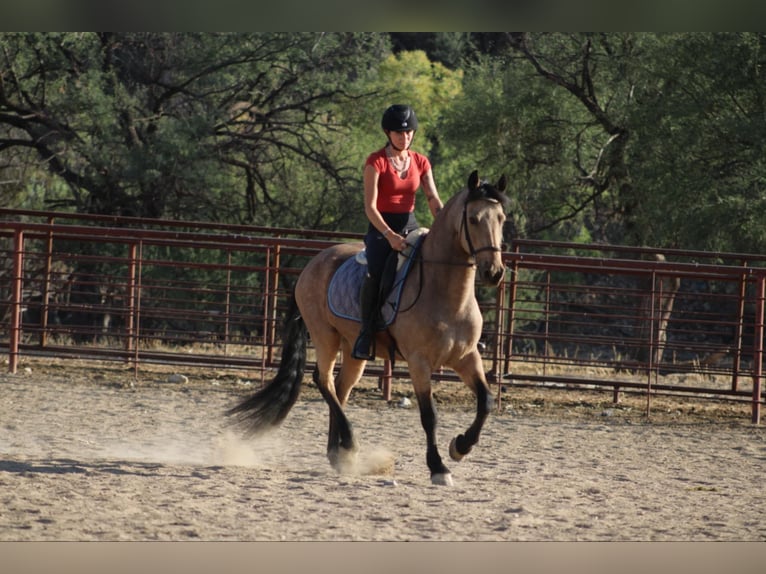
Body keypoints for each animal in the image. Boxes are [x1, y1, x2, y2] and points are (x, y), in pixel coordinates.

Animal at [231, 171, 512, 486]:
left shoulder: (466, 357)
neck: (446, 294)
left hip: (353, 348)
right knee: (323, 380)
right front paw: (439, 467)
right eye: (473, 219)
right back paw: (350, 444)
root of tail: (311, 265)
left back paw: (339, 454)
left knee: (340, 388)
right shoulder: (418, 362)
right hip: (325, 337)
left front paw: (460, 446)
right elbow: (430, 416)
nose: (494, 272)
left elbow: (486, 401)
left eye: (501, 218)